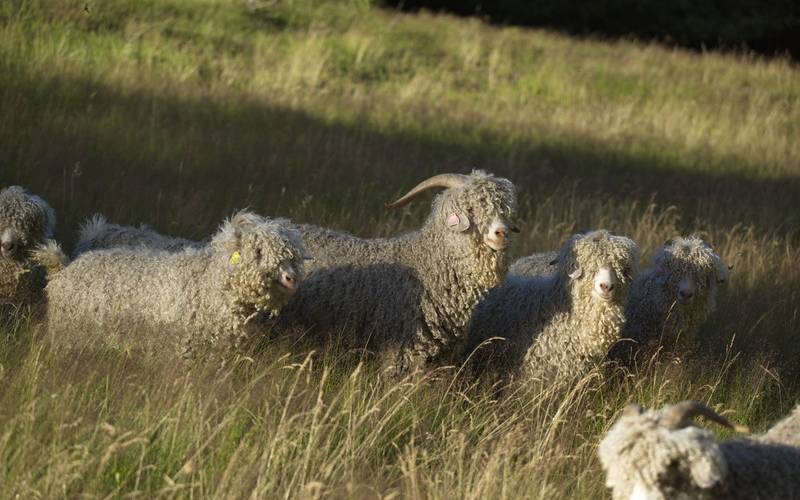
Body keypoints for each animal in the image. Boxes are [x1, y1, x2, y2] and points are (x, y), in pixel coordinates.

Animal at [44, 211, 307, 358]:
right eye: (259, 252)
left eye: (293, 256)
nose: (291, 278)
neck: (209, 286)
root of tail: (64, 269)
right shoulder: (182, 349)